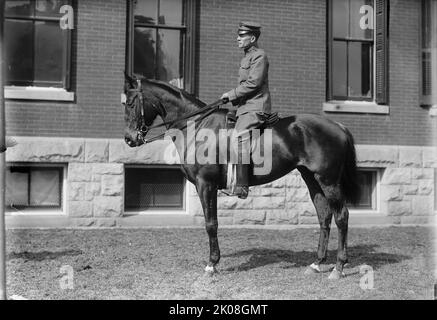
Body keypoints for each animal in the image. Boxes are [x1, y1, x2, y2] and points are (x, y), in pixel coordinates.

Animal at [122, 74, 358, 278]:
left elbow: (211, 224)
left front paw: (212, 264)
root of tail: (338, 125)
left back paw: (339, 267)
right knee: (324, 216)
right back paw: (317, 263)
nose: (129, 139)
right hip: (312, 179)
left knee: (341, 216)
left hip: (328, 181)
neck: (198, 126)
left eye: (131, 103)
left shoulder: (205, 185)